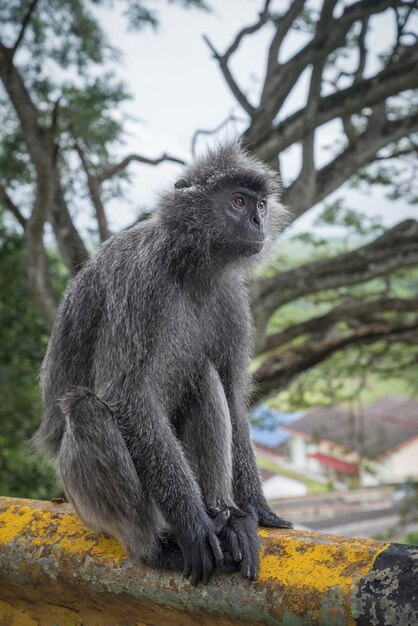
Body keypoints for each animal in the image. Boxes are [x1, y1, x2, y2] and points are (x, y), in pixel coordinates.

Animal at [32, 141, 292, 584]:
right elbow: (127, 396)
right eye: (238, 202)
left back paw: (226, 516)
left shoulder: (231, 299)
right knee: (87, 410)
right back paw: (156, 545)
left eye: (260, 203)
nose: (258, 221)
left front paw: (256, 510)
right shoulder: (140, 284)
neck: (189, 265)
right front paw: (194, 525)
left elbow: (231, 393)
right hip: (86, 504)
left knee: (204, 376)